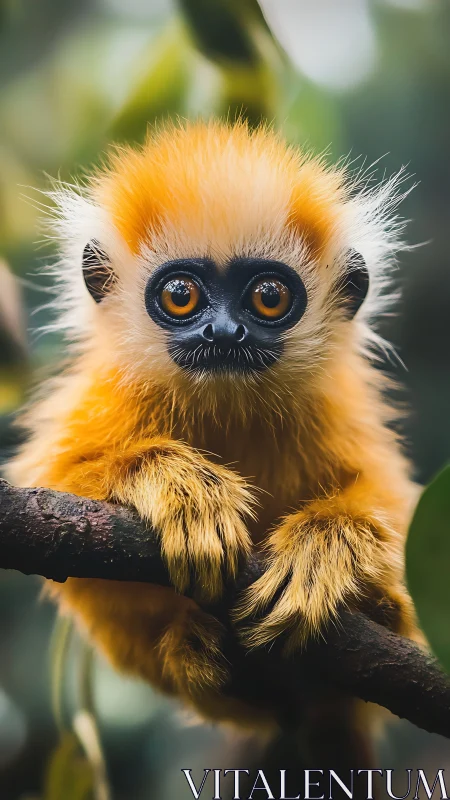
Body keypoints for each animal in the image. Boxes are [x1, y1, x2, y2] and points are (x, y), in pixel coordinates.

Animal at [6, 119, 420, 731]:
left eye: (268, 298)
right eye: (181, 296)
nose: (223, 333)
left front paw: (324, 548)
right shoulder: (109, 398)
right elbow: (51, 489)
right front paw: (183, 490)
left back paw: (379, 611)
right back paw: (200, 654)